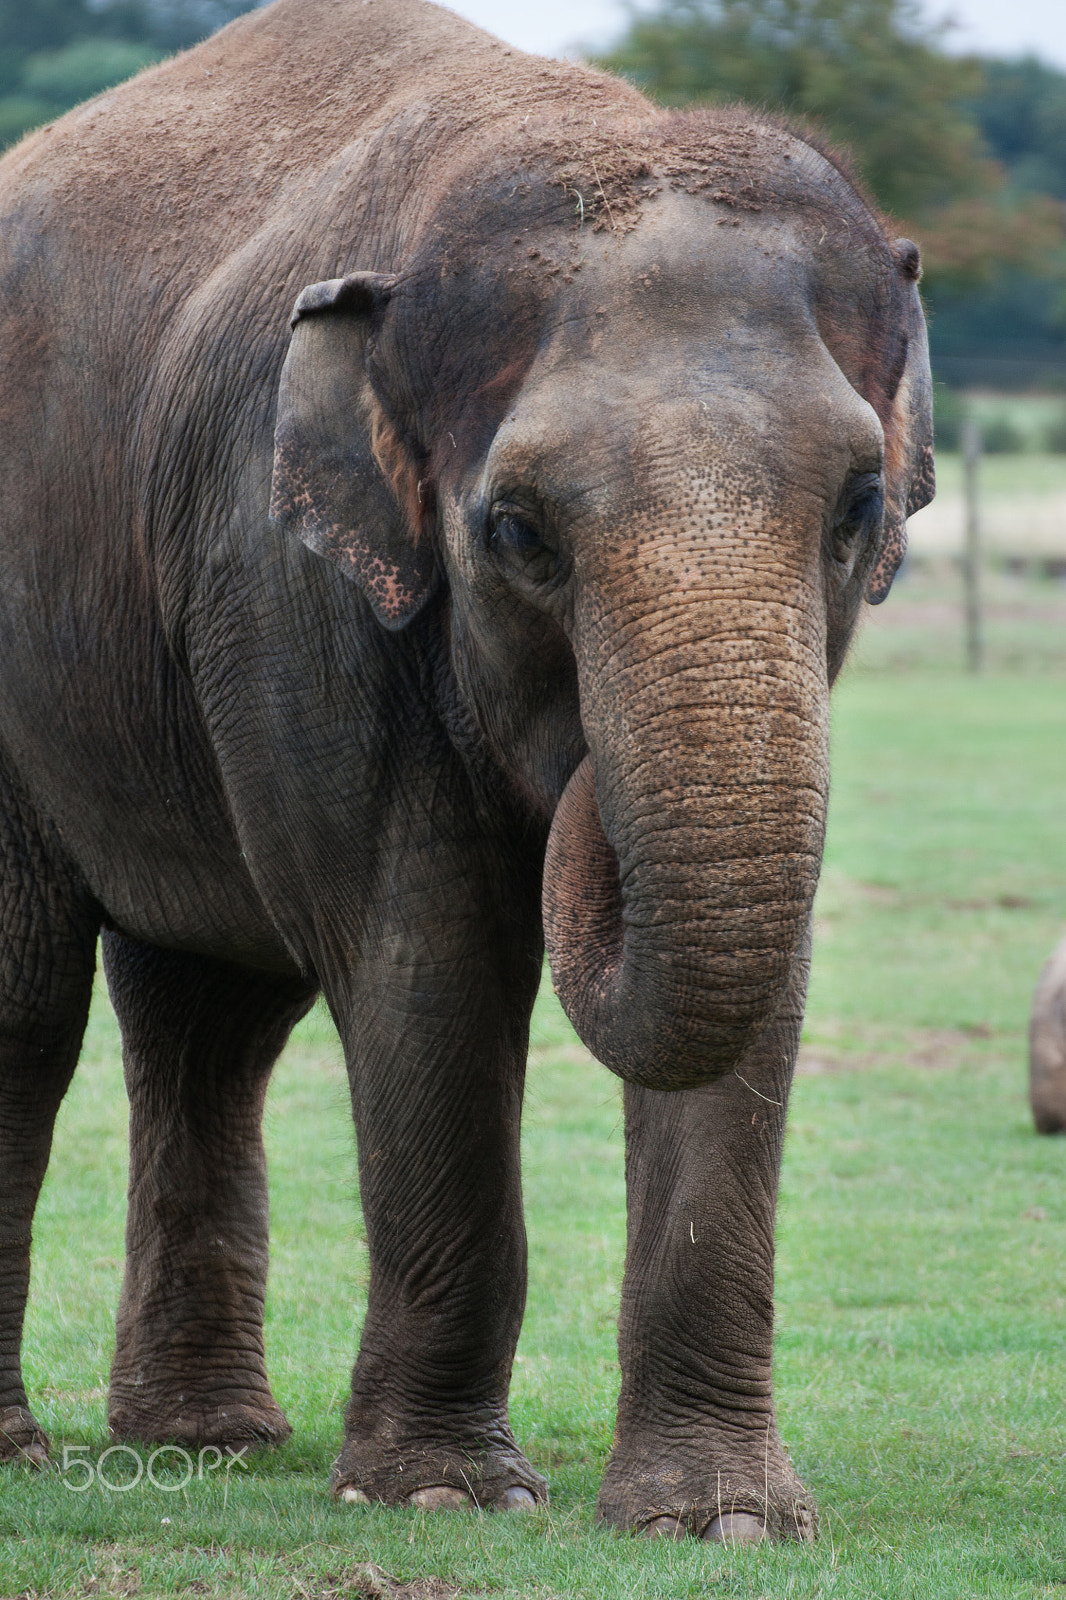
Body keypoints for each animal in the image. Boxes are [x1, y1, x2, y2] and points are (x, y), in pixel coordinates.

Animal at [0, 0, 934, 1543]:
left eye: (859, 504)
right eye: (516, 532)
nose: (573, 792)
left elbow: (762, 973)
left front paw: (718, 1519)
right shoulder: (284, 577)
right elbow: (422, 946)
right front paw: (441, 1495)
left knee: (209, 1018)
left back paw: (207, 1441)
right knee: (25, 1006)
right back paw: (41, 1450)